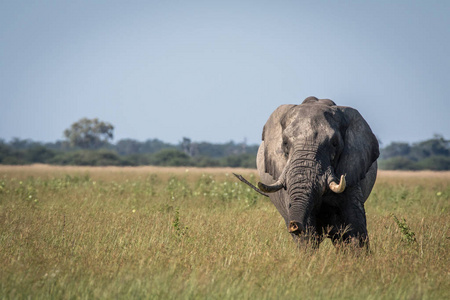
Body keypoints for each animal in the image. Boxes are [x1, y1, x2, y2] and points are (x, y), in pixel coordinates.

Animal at [236, 96, 380, 248]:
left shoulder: (351, 171)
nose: (294, 225)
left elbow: (354, 230)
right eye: (285, 143)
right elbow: (308, 235)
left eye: (334, 143)